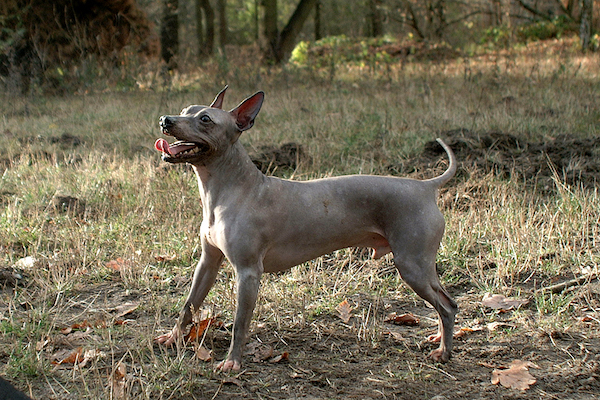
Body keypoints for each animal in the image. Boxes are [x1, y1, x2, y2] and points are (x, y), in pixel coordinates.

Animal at [152, 87, 458, 372]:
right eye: (186, 109)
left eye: (205, 119)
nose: (165, 120)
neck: (229, 190)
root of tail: (425, 186)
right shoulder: (208, 263)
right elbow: (188, 305)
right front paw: (173, 338)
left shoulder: (248, 273)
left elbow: (240, 323)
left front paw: (233, 362)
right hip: (419, 266)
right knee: (446, 302)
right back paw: (438, 339)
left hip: (411, 266)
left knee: (447, 306)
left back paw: (443, 352)